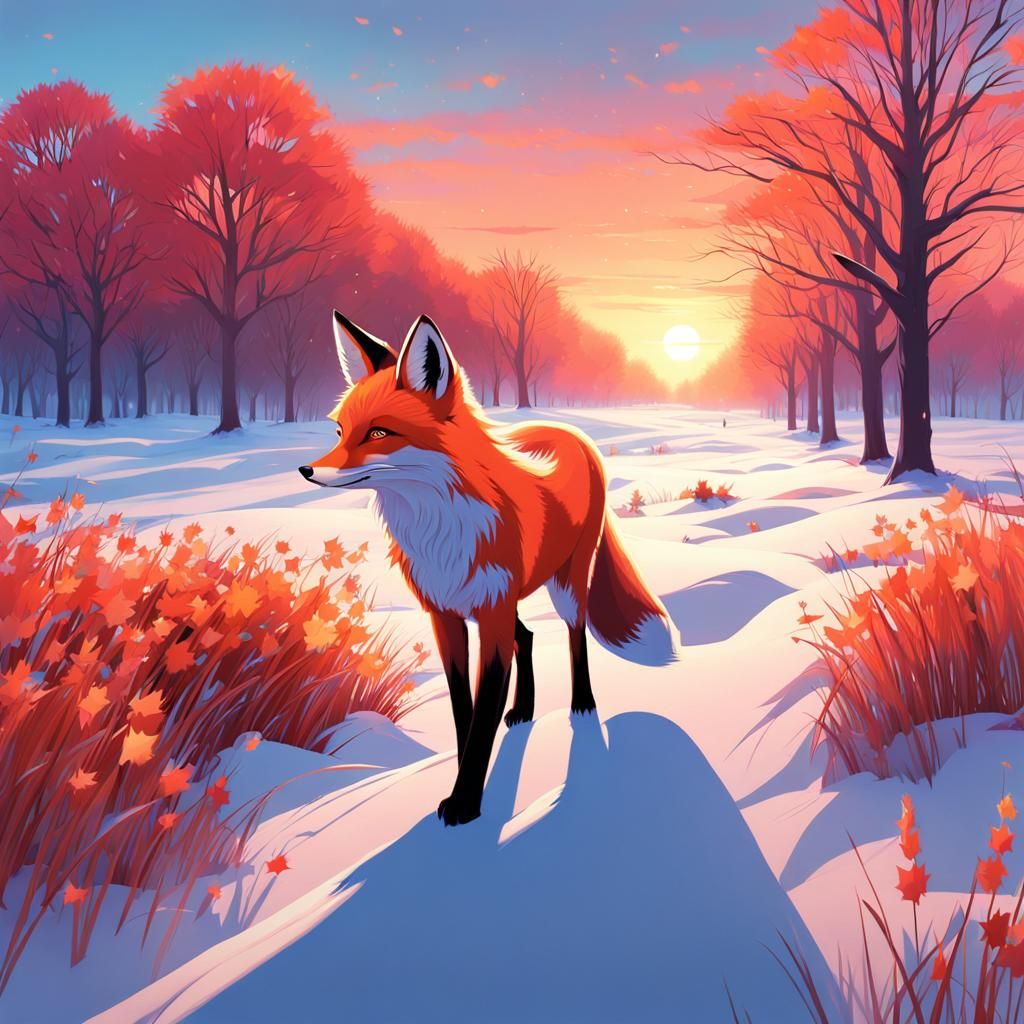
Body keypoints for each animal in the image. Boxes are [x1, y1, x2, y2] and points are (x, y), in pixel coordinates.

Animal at [299, 309, 678, 826]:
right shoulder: (446, 615)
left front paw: (464, 805)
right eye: (339, 433)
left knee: (574, 636)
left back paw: (582, 706)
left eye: (378, 433)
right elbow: (465, 711)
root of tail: (570, 432)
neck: (441, 531)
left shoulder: (491, 614)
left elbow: (482, 718)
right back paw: (524, 710)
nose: (307, 471)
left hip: (565, 585)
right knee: (529, 636)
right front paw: (464, 783)